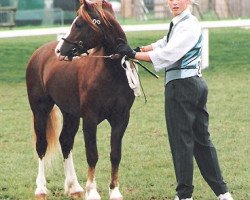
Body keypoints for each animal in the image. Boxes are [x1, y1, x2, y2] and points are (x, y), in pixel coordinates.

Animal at [25, 0, 135, 199]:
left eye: (79, 24)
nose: (60, 51)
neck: (111, 73)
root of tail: (40, 53)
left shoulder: (121, 119)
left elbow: (115, 154)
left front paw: (114, 191)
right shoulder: (90, 120)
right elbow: (92, 154)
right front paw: (91, 191)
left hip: (70, 113)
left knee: (65, 141)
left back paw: (74, 187)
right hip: (40, 110)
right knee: (41, 145)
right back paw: (41, 189)